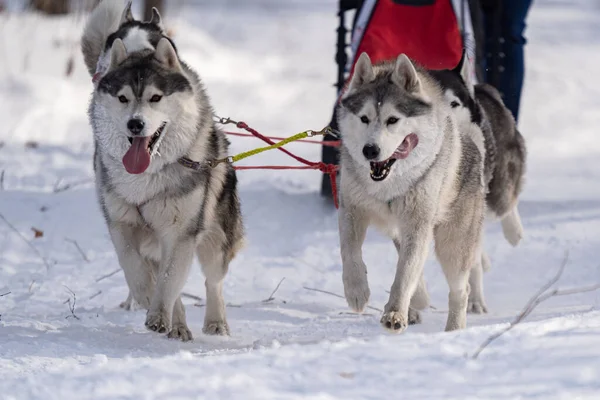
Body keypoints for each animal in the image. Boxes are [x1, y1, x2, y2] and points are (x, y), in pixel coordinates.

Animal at [81, 1, 243, 342]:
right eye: (123, 97)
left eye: (155, 97)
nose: (135, 124)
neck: (147, 176)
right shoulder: (121, 223)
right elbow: (135, 268)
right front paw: (148, 299)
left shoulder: (181, 232)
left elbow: (171, 280)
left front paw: (157, 314)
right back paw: (176, 323)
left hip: (217, 234)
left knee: (213, 279)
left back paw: (215, 321)